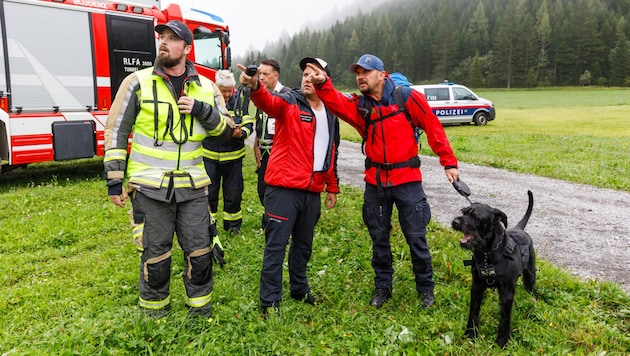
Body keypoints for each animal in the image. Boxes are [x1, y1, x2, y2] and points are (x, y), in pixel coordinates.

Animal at [454, 191, 540, 346]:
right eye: (464, 212)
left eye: (476, 217)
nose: (455, 222)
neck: (487, 253)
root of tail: (519, 229)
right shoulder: (477, 287)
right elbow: (473, 311)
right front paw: (471, 333)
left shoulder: (506, 292)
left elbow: (505, 318)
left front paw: (502, 341)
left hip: (530, 275)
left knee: (532, 291)